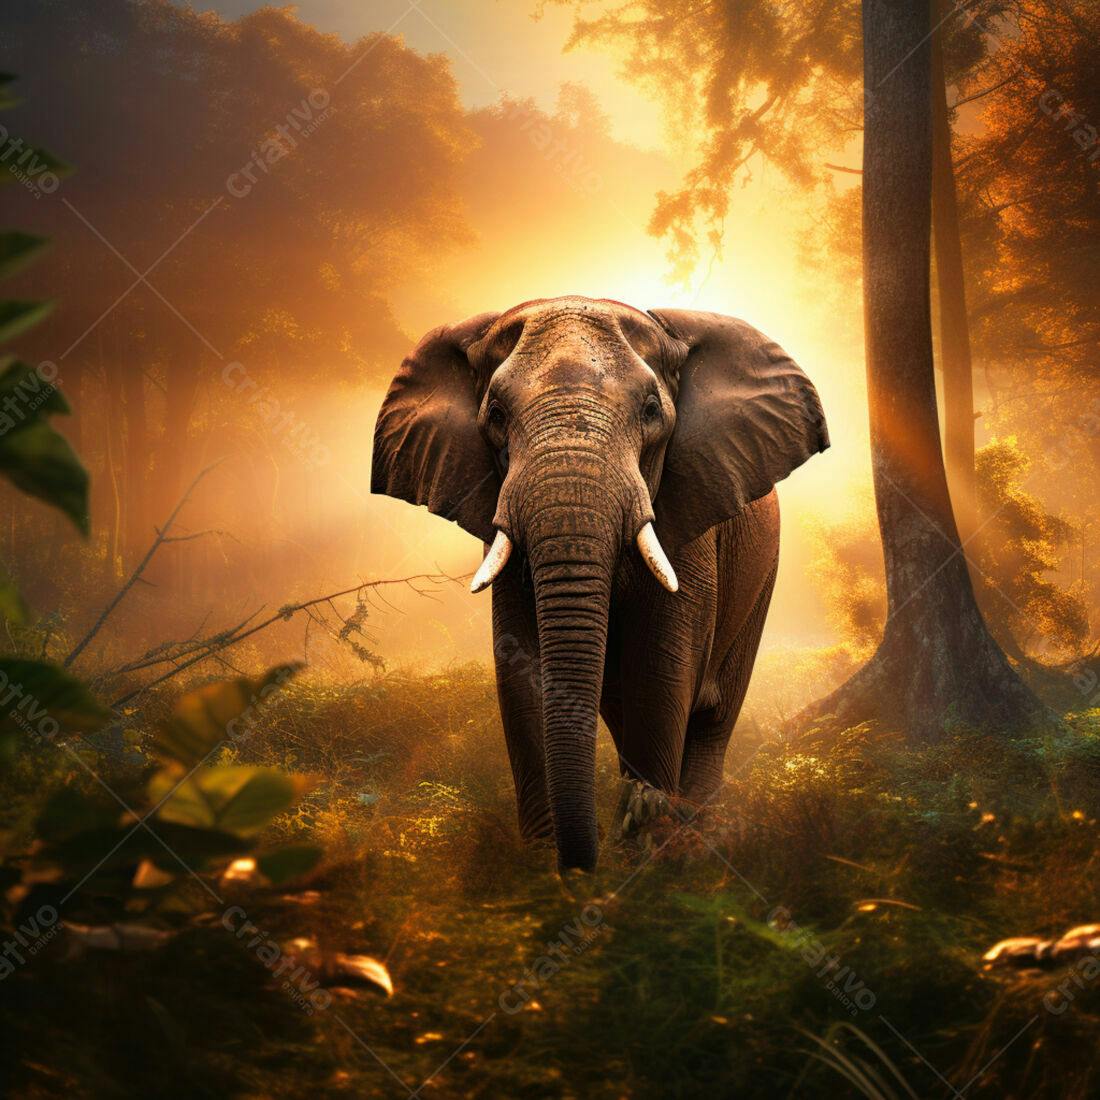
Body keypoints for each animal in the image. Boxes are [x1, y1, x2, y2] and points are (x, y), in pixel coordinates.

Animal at [372, 296, 828, 872]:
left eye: (651, 411)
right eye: (495, 416)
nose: (583, 865)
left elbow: (660, 674)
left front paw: (641, 863)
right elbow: (522, 673)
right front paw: (544, 874)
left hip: (763, 575)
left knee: (714, 716)